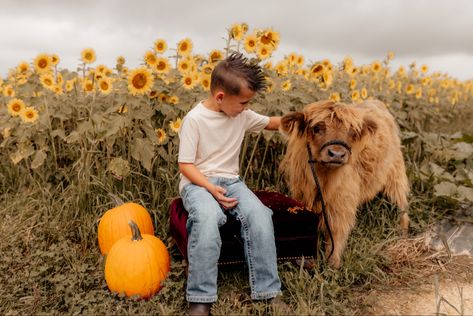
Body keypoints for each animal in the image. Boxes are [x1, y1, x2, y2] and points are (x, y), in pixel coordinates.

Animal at [278, 100, 408, 268]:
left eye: (352, 132)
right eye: (317, 128)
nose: (336, 154)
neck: (323, 179)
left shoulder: (342, 202)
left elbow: (336, 231)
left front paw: (333, 264)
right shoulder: (302, 195)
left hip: (396, 177)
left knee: (402, 205)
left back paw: (403, 233)